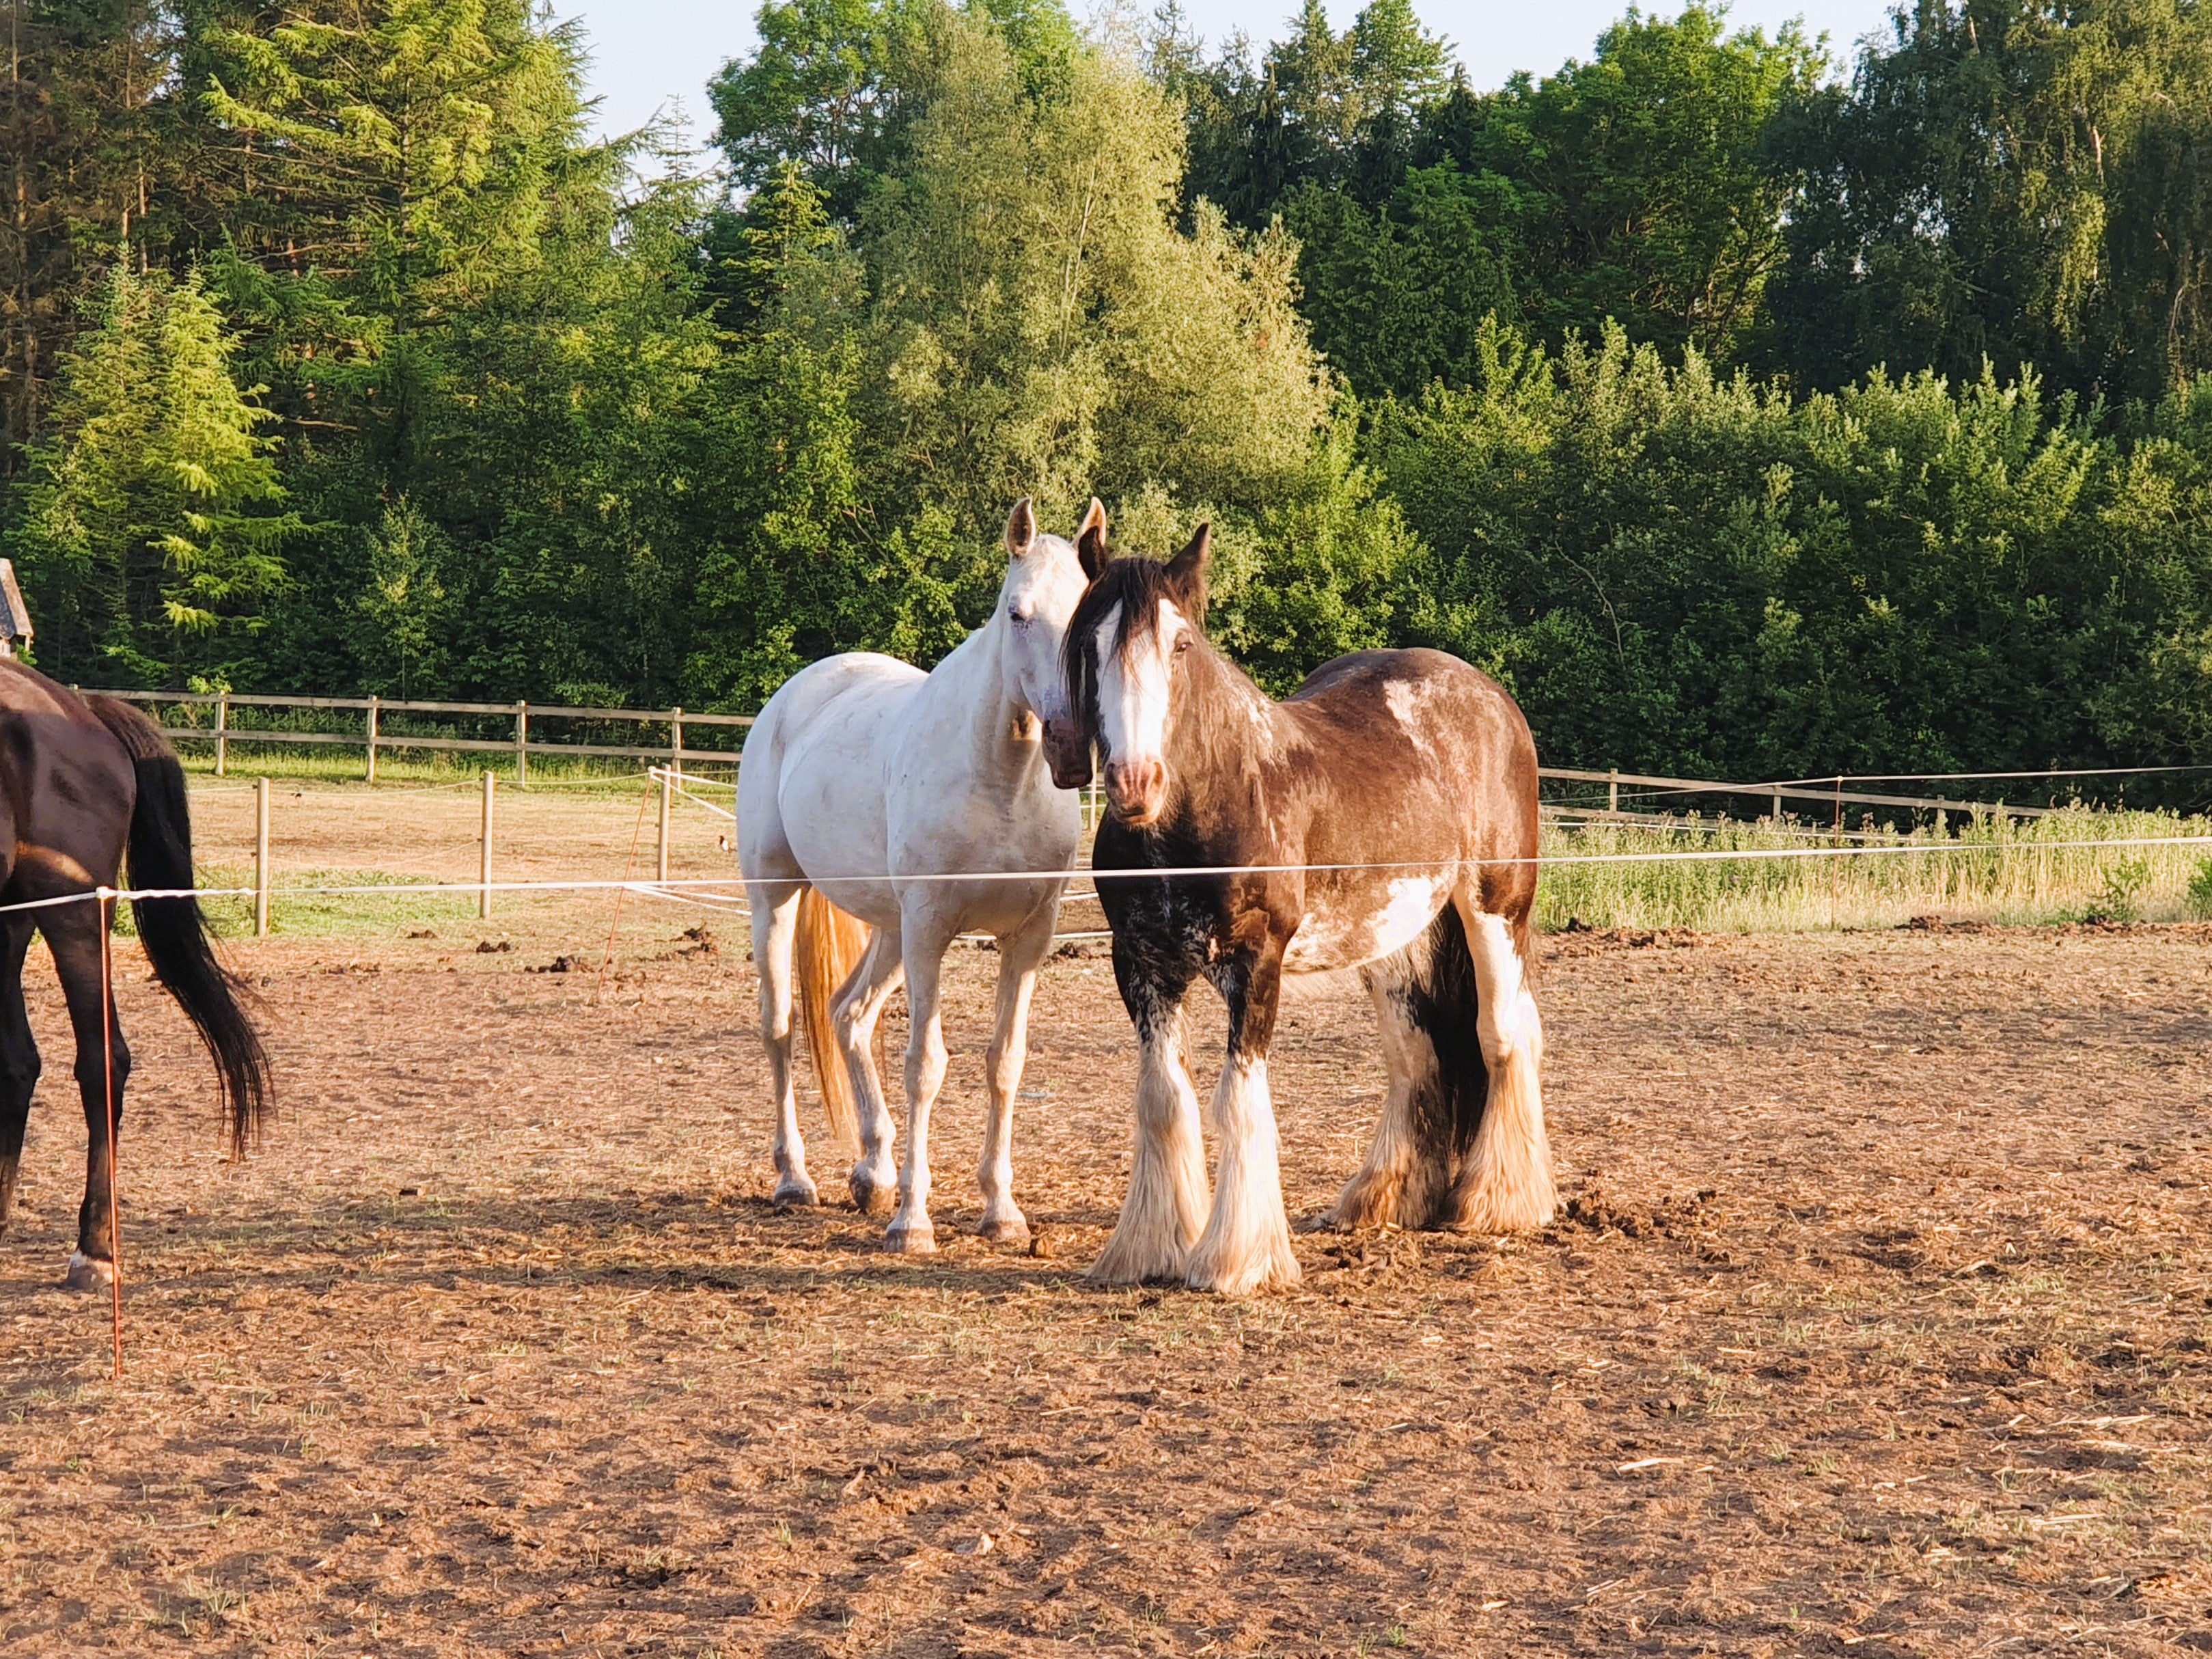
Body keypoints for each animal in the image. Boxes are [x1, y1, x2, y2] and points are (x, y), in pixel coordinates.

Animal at [738, 499, 1101, 1256]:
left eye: (1089, 614)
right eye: (1018, 614)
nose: (1068, 744)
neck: (1000, 782)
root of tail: (797, 693)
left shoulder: (1028, 938)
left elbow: (1005, 1062)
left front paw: (1001, 1210)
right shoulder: (932, 928)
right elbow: (925, 1065)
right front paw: (913, 1221)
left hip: (888, 929)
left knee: (848, 1014)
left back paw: (872, 1172)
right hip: (779, 900)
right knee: (781, 1025)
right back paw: (795, 1178)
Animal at [1062, 533, 1548, 1300]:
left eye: (1180, 644)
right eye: (1088, 642)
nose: (1135, 783)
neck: (1204, 805)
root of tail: (1489, 696)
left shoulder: (1255, 963)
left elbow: (1238, 1098)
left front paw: (1237, 1261)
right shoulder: (1140, 964)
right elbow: (1162, 1099)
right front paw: (1150, 1249)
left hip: (1495, 909)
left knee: (1503, 1033)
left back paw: (1499, 1201)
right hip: (1393, 940)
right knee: (1415, 1054)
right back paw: (1383, 1199)